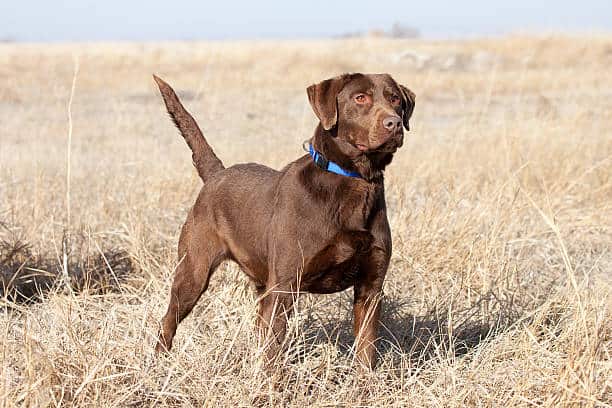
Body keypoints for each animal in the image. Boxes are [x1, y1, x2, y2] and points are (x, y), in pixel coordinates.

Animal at [153, 73, 416, 370]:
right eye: (360, 98)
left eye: (395, 99)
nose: (394, 123)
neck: (354, 182)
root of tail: (216, 175)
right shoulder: (285, 287)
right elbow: (274, 352)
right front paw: (272, 383)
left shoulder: (370, 288)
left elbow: (366, 350)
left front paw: (365, 382)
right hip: (192, 272)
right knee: (168, 320)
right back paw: (158, 363)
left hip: (260, 283)